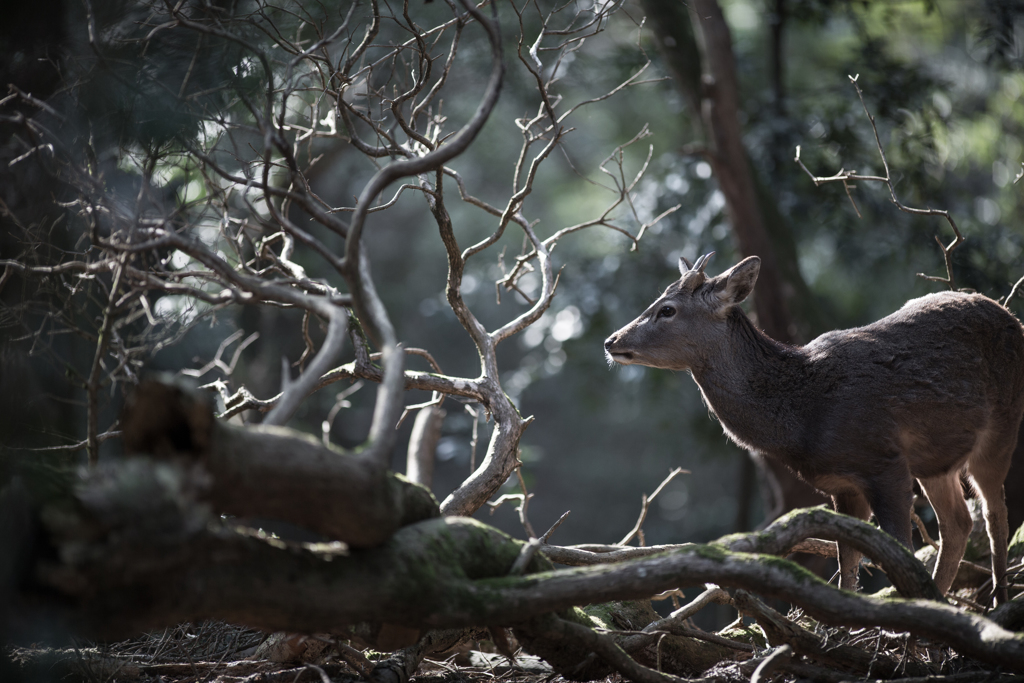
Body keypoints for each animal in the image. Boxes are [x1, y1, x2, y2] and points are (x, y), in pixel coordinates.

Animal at [602, 252, 1024, 602]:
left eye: (667, 309)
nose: (611, 340)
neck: (803, 415)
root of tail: (1009, 314)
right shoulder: (841, 484)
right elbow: (847, 564)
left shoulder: (884, 461)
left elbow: (899, 553)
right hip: (935, 461)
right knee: (958, 523)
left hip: (1002, 427)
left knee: (994, 513)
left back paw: (997, 600)